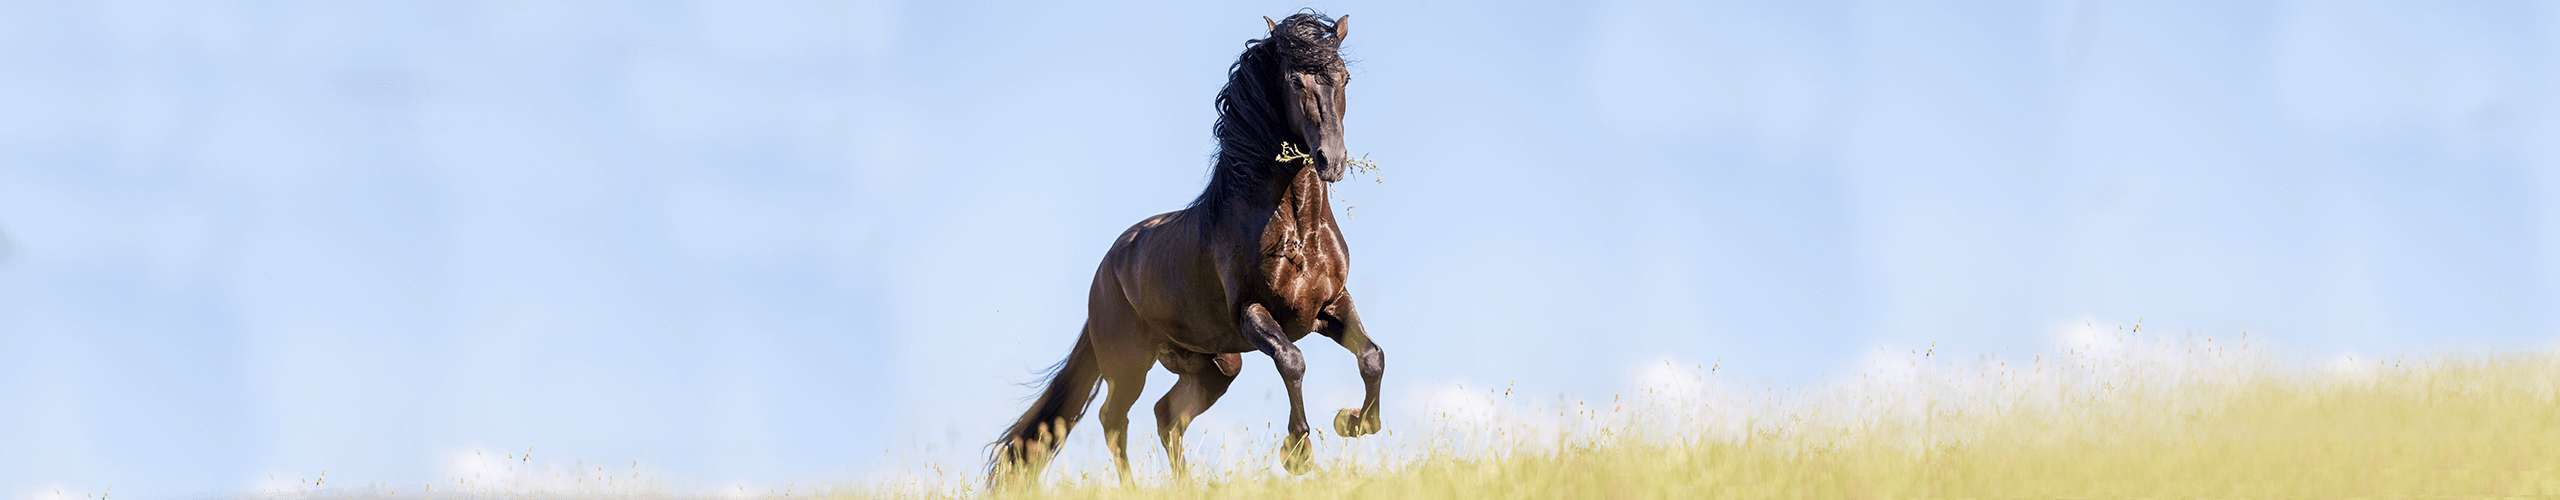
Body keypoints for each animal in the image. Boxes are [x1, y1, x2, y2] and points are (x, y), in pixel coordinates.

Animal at [983, 11, 1382, 487]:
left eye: (1344, 77)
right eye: (1294, 80)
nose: (1331, 161)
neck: (1297, 232)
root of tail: (1106, 270)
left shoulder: (1330, 306)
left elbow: (1372, 357)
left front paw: (1352, 422)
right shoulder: (1253, 314)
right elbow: (1292, 361)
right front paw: (1298, 454)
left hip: (1216, 365)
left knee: (1168, 415)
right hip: (1129, 363)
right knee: (1114, 418)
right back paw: (1134, 488)